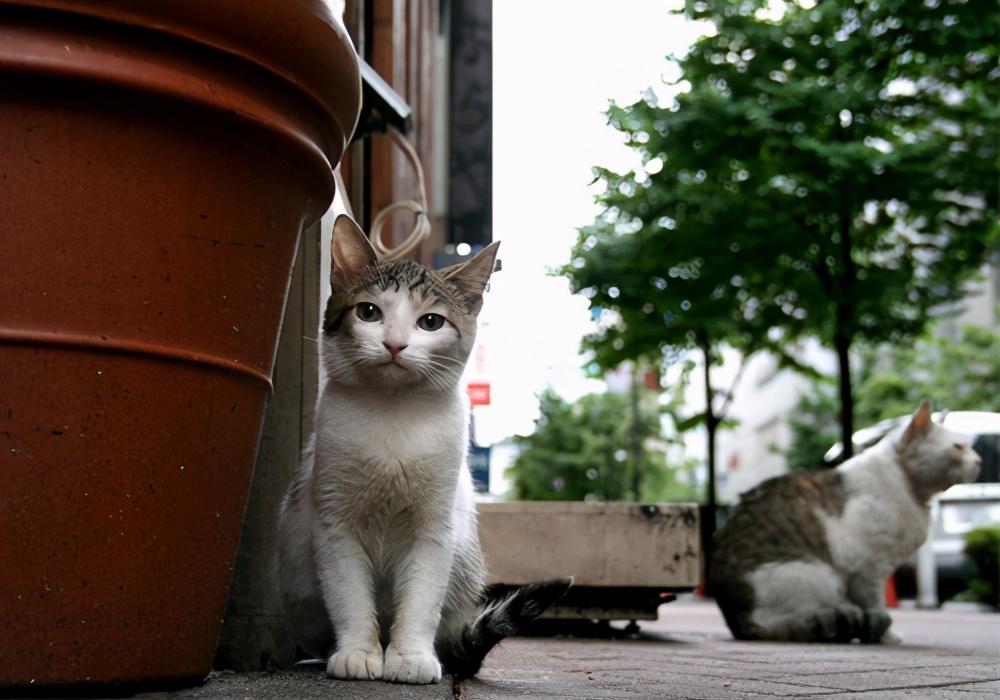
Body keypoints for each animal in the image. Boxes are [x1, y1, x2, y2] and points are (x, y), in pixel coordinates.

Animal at [278, 215, 568, 684]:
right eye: (369, 312)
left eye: (431, 322)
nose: (395, 343)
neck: (393, 413)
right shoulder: (335, 523)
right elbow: (348, 594)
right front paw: (358, 653)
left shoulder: (434, 528)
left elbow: (420, 600)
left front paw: (410, 657)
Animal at [712, 402, 984, 644]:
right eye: (958, 447)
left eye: (969, 447)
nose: (979, 460)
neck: (912, 491)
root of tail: (735, 619)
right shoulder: (869, 569)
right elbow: (875, 606)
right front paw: (887, 636)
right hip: (818, 576)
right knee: (776, 623)